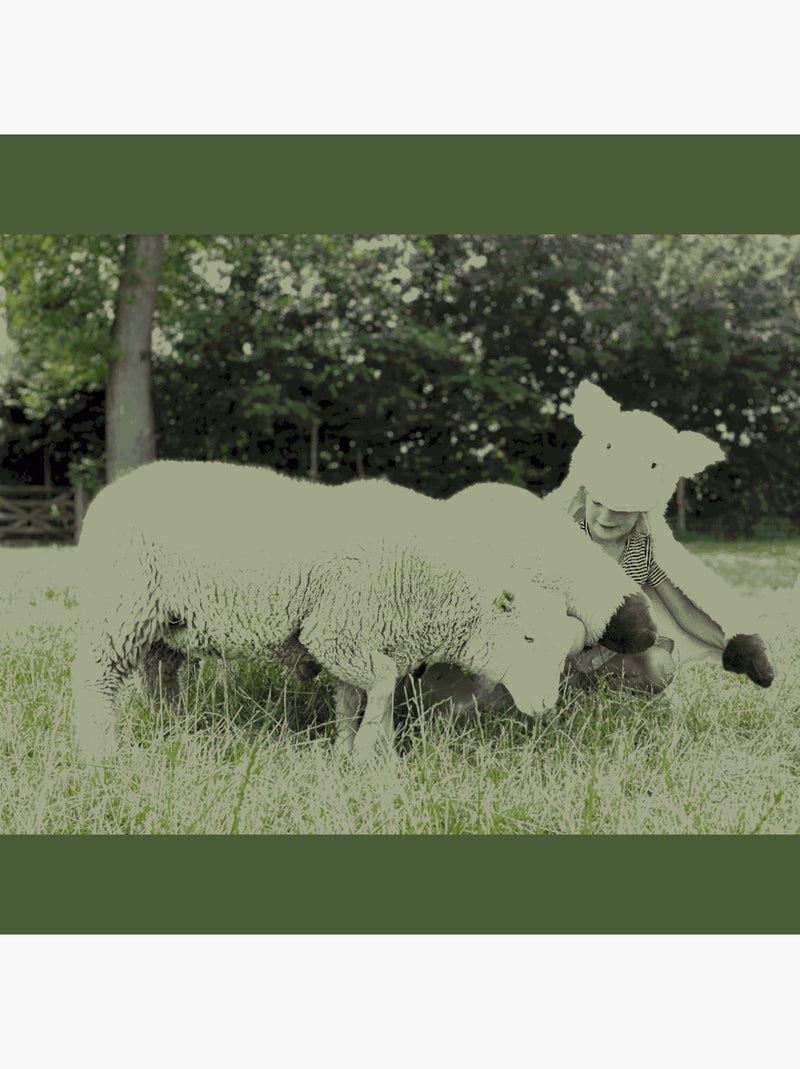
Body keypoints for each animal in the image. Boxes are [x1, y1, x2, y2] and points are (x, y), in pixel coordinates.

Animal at [71, 461, 585, 760]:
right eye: (528, 638)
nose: (545, 707)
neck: (432, 582)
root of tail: (111, 491)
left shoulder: (357, 640)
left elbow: (351, 700)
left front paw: (349, 750)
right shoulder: (336, 631)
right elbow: (381, 689)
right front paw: (370, 755)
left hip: (167, 622)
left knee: (159, 674)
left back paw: (172, 729)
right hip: (120, 604)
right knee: (96, 679)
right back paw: (102, 755)